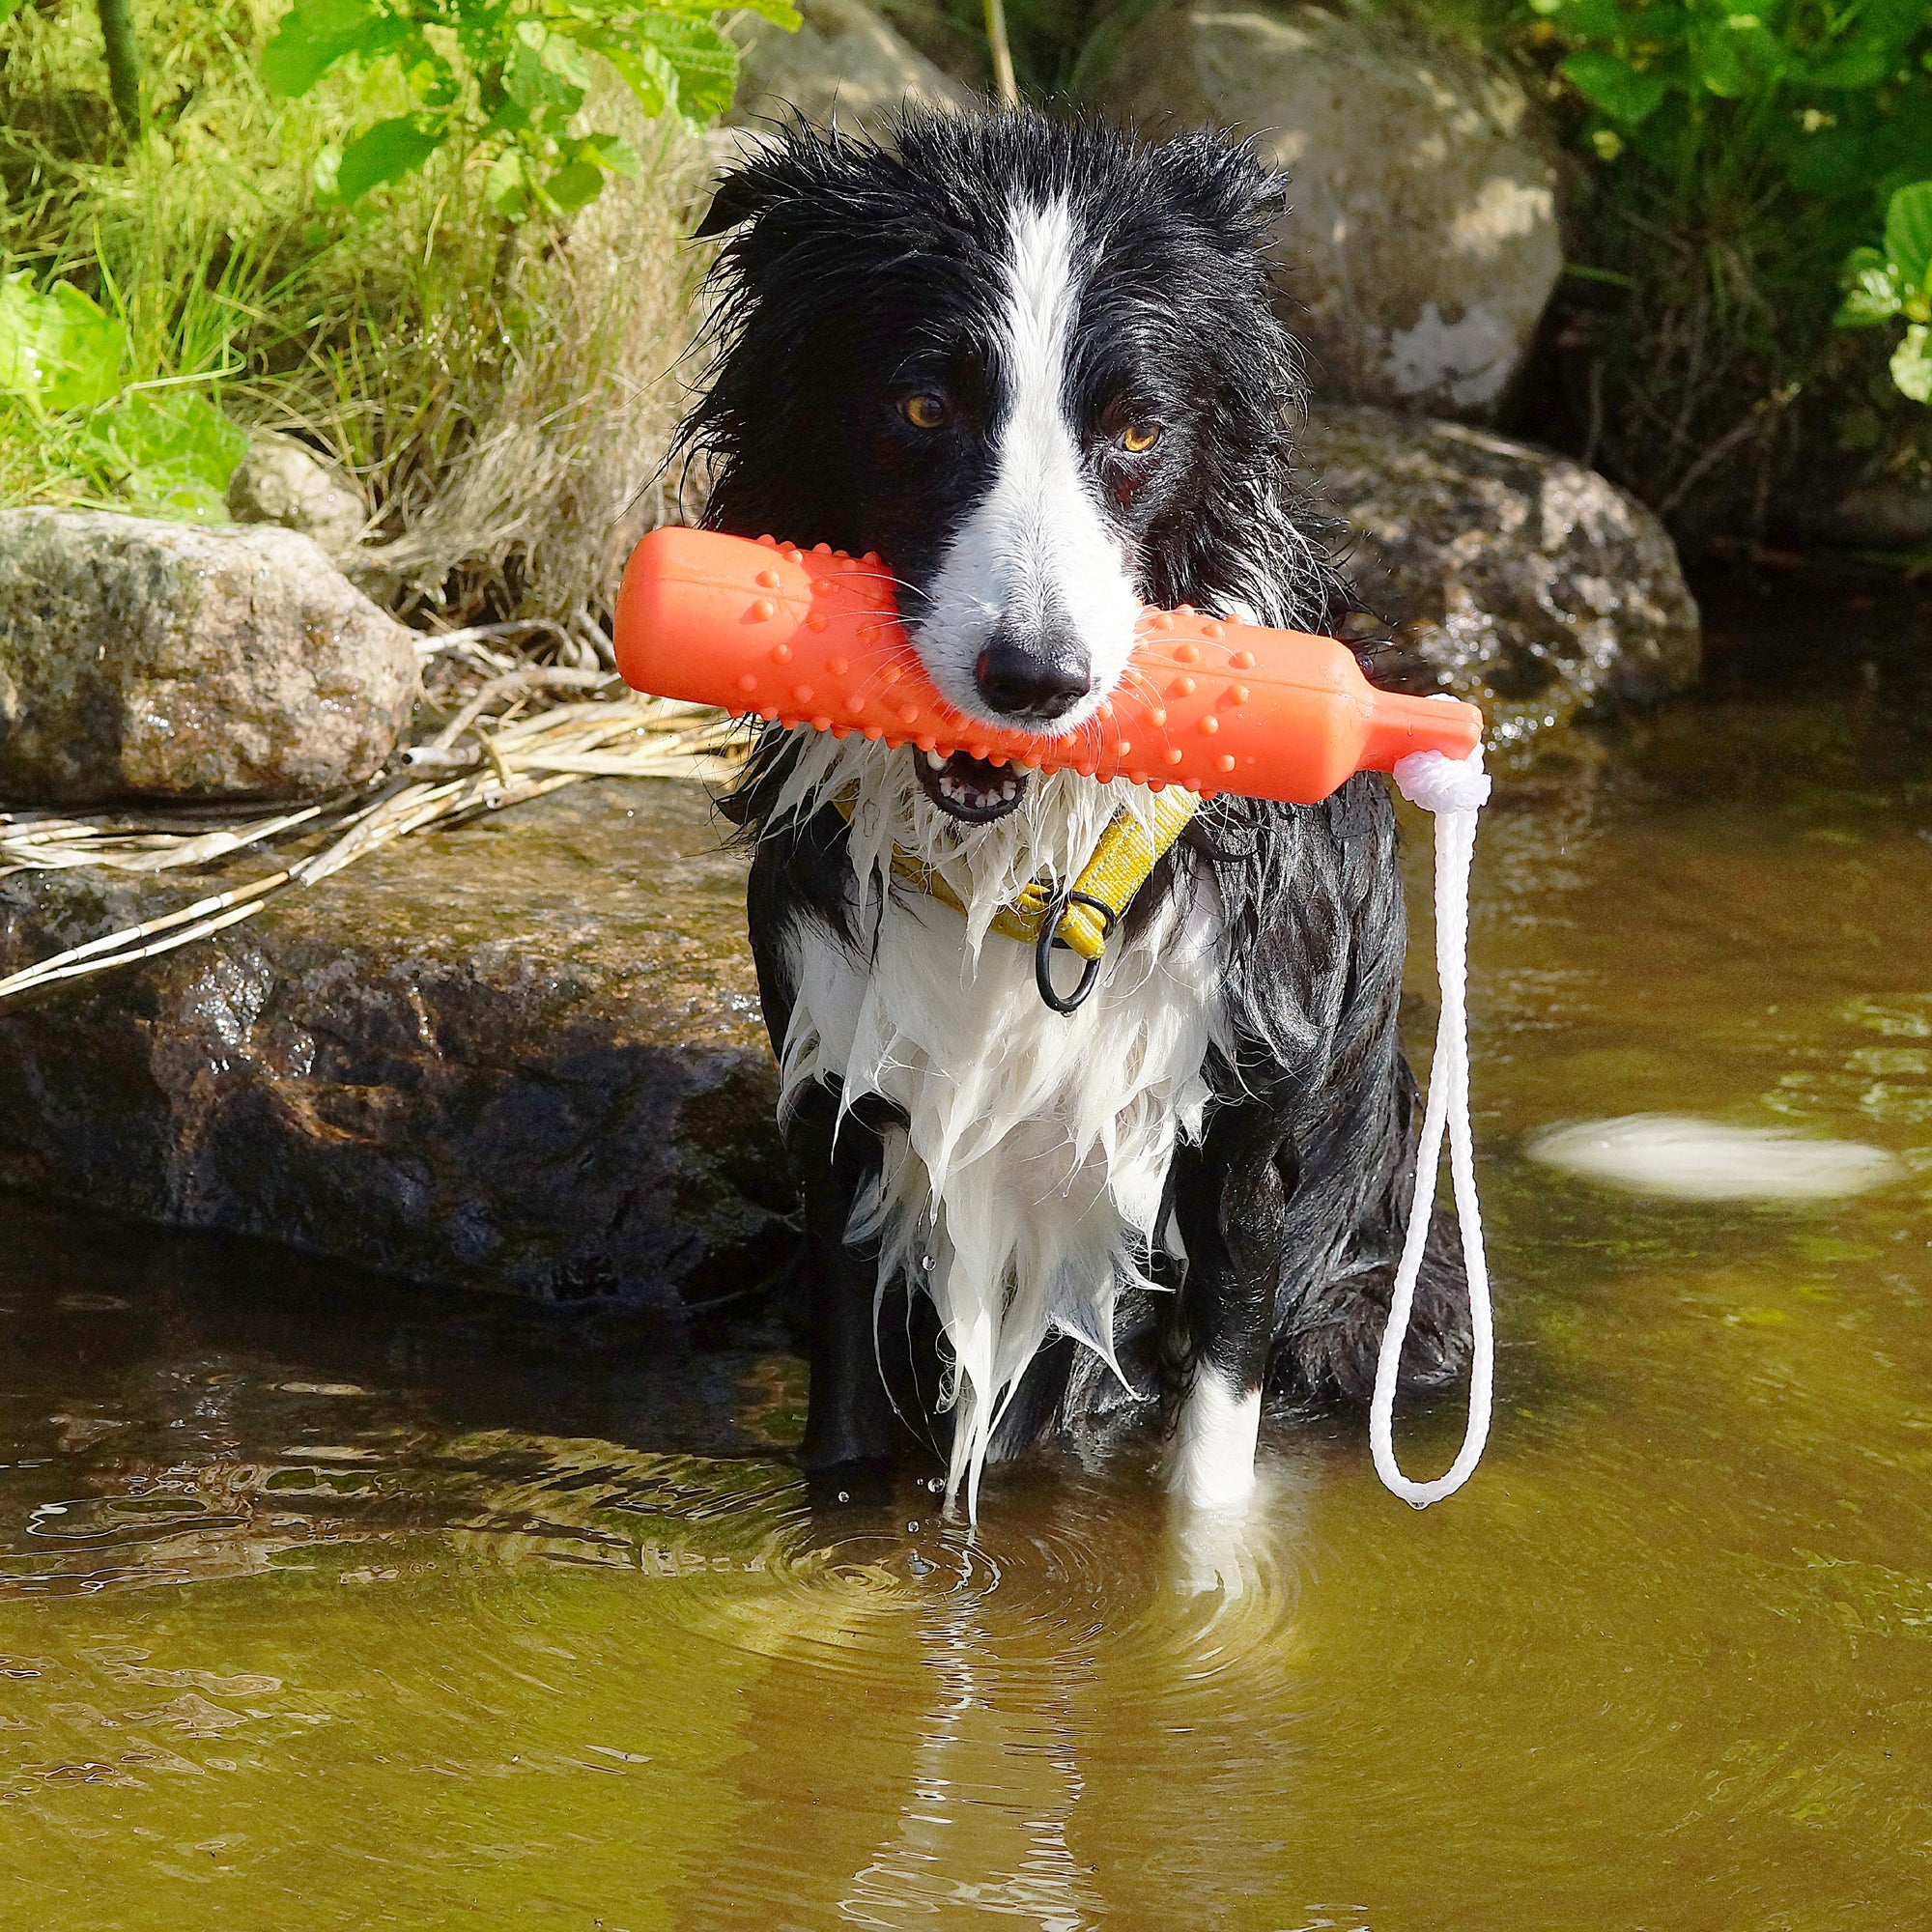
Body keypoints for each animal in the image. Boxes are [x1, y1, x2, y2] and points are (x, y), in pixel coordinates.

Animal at [680, 113, 1461, 1515]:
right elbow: (844, 1431)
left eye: (1138, 432)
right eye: (921, 406)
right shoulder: (838, 1095)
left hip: (1380, 1310)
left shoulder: (1245, 1134)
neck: (1026, 870)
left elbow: (1209, 1460)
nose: (1034, 678)